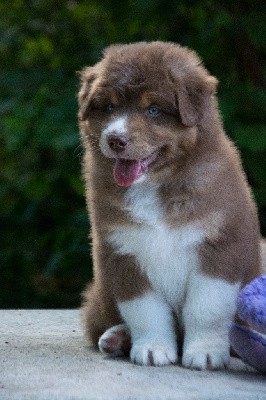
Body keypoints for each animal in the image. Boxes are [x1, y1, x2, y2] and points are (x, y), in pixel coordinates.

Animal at [79, 42, 262, 370]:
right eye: (109, 107)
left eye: (153, 110)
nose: (115, 139)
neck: (157, 185)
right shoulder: (122, 250)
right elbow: (145, 310)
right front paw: (152, 349)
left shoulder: (221, 246)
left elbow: (207, 308)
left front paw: (205, 353)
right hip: (100, 297)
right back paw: (116, 337)